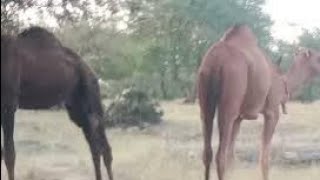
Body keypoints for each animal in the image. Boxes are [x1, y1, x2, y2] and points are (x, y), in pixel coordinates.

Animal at [0, 26, 114, 180]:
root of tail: (90, 69)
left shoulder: (8, 103)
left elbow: (9, 154)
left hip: (91, 92)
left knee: (103, 146)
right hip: (76, 105)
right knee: (95, 145)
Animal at [198, 23, 320, 180]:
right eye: (318, 57)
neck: (283, 84)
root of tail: (216, 61)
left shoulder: (239, 118)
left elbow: (232, 155)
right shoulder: (272, 111)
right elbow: (264, 158)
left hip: (205, 90)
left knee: (207, 151)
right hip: (231, 93)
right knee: (220, 155)